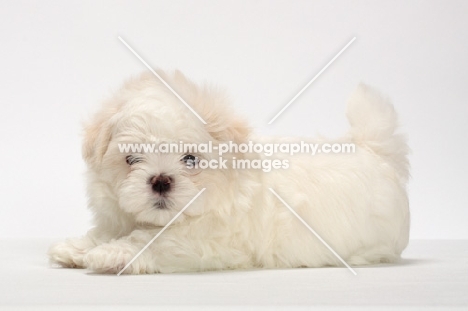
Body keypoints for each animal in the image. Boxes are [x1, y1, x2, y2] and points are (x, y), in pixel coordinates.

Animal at [48, 70, 410, 276]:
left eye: (190, 160)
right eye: (132, 159)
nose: (161, 180)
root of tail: (373, 150)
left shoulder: (210, 241)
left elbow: (152, 241)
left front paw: (110, 253)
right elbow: (111, 230)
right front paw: (79, 248)